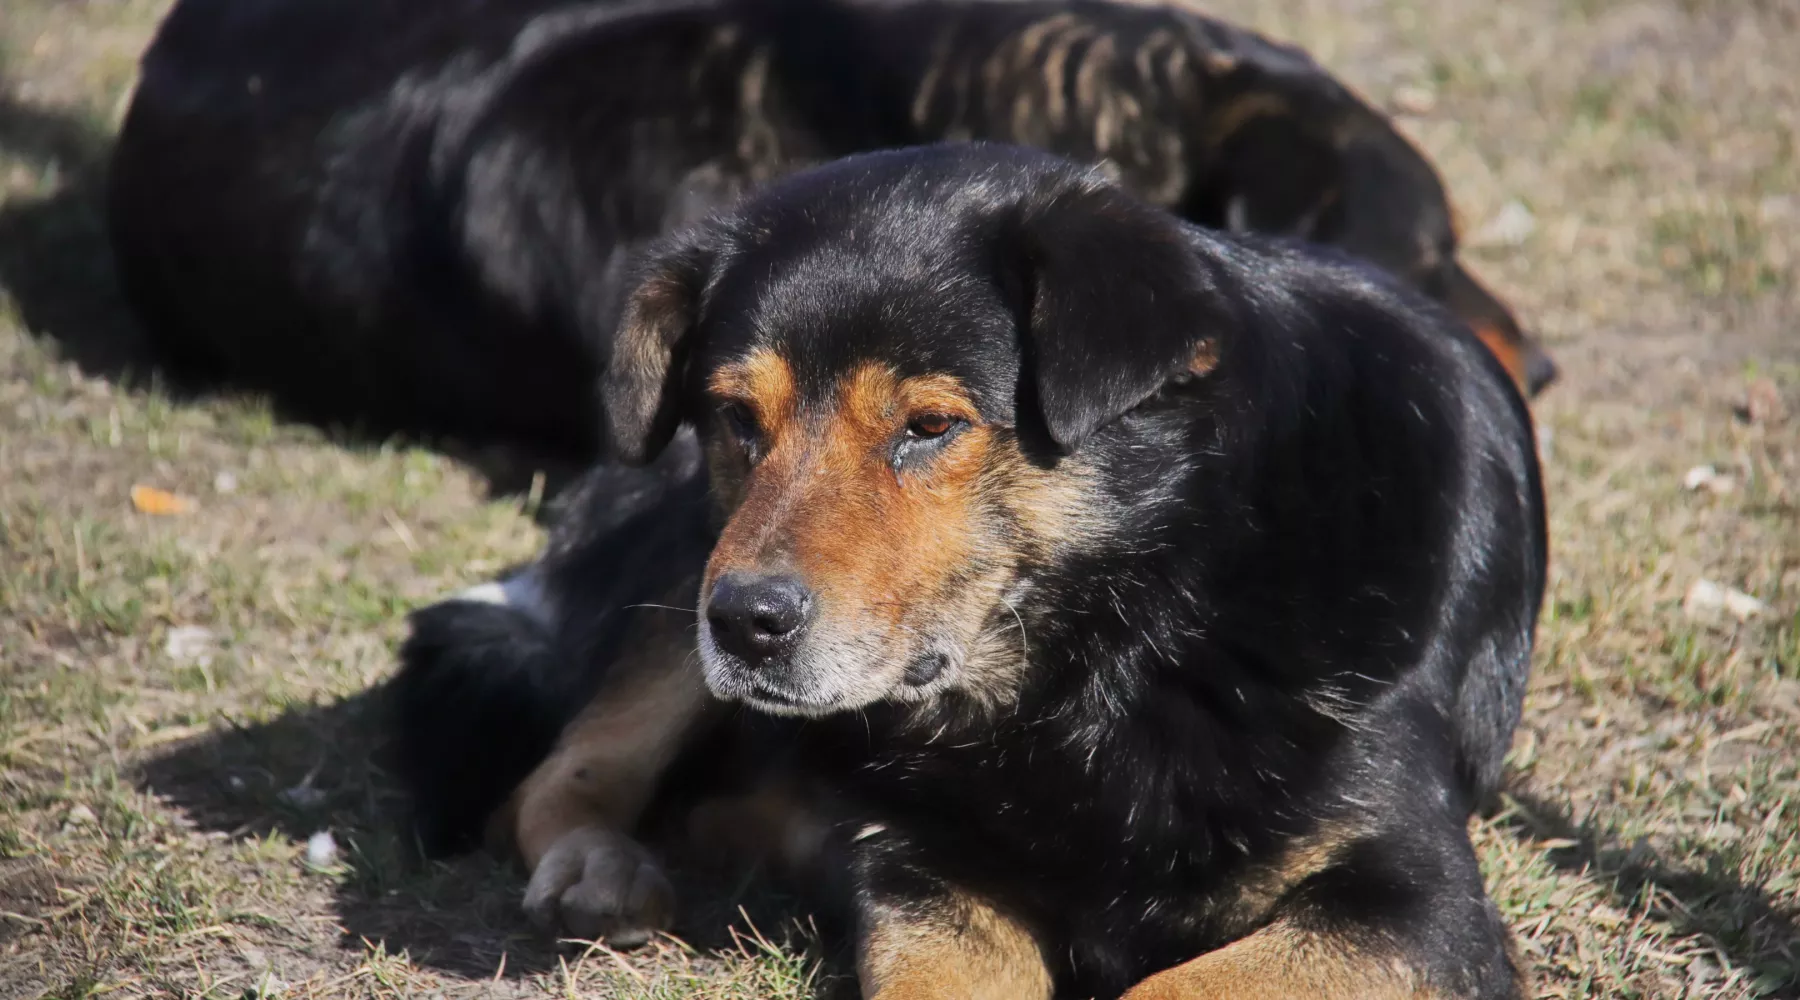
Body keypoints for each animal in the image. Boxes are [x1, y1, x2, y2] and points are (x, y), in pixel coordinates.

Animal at [394, 142, 1548, 1000]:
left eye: (930, 426)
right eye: (735, 417)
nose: (747, 623)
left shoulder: (1417, 905)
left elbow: (1175, 982)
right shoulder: (928, 880)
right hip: (684, 581)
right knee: (557, 778)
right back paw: (604, 864)